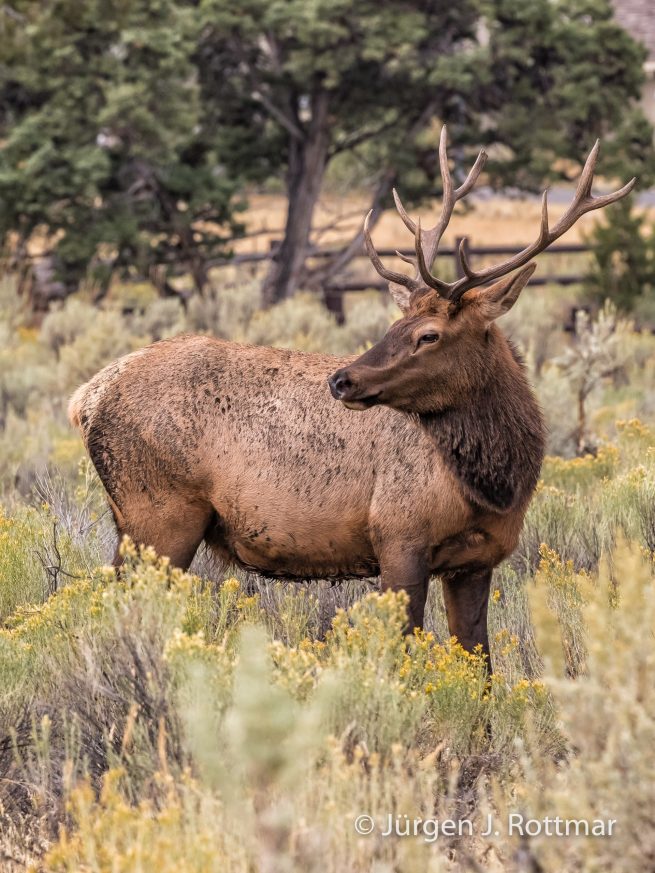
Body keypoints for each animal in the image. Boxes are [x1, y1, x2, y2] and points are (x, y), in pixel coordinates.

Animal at [68, 128, 634, 668]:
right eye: (394, 325)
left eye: (427, 334)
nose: (342, 380)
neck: (494, 488)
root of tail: (86, 398)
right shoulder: (398, 536)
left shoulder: (478, 560)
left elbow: (481, 663)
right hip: (160, 513)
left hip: (135, 520)